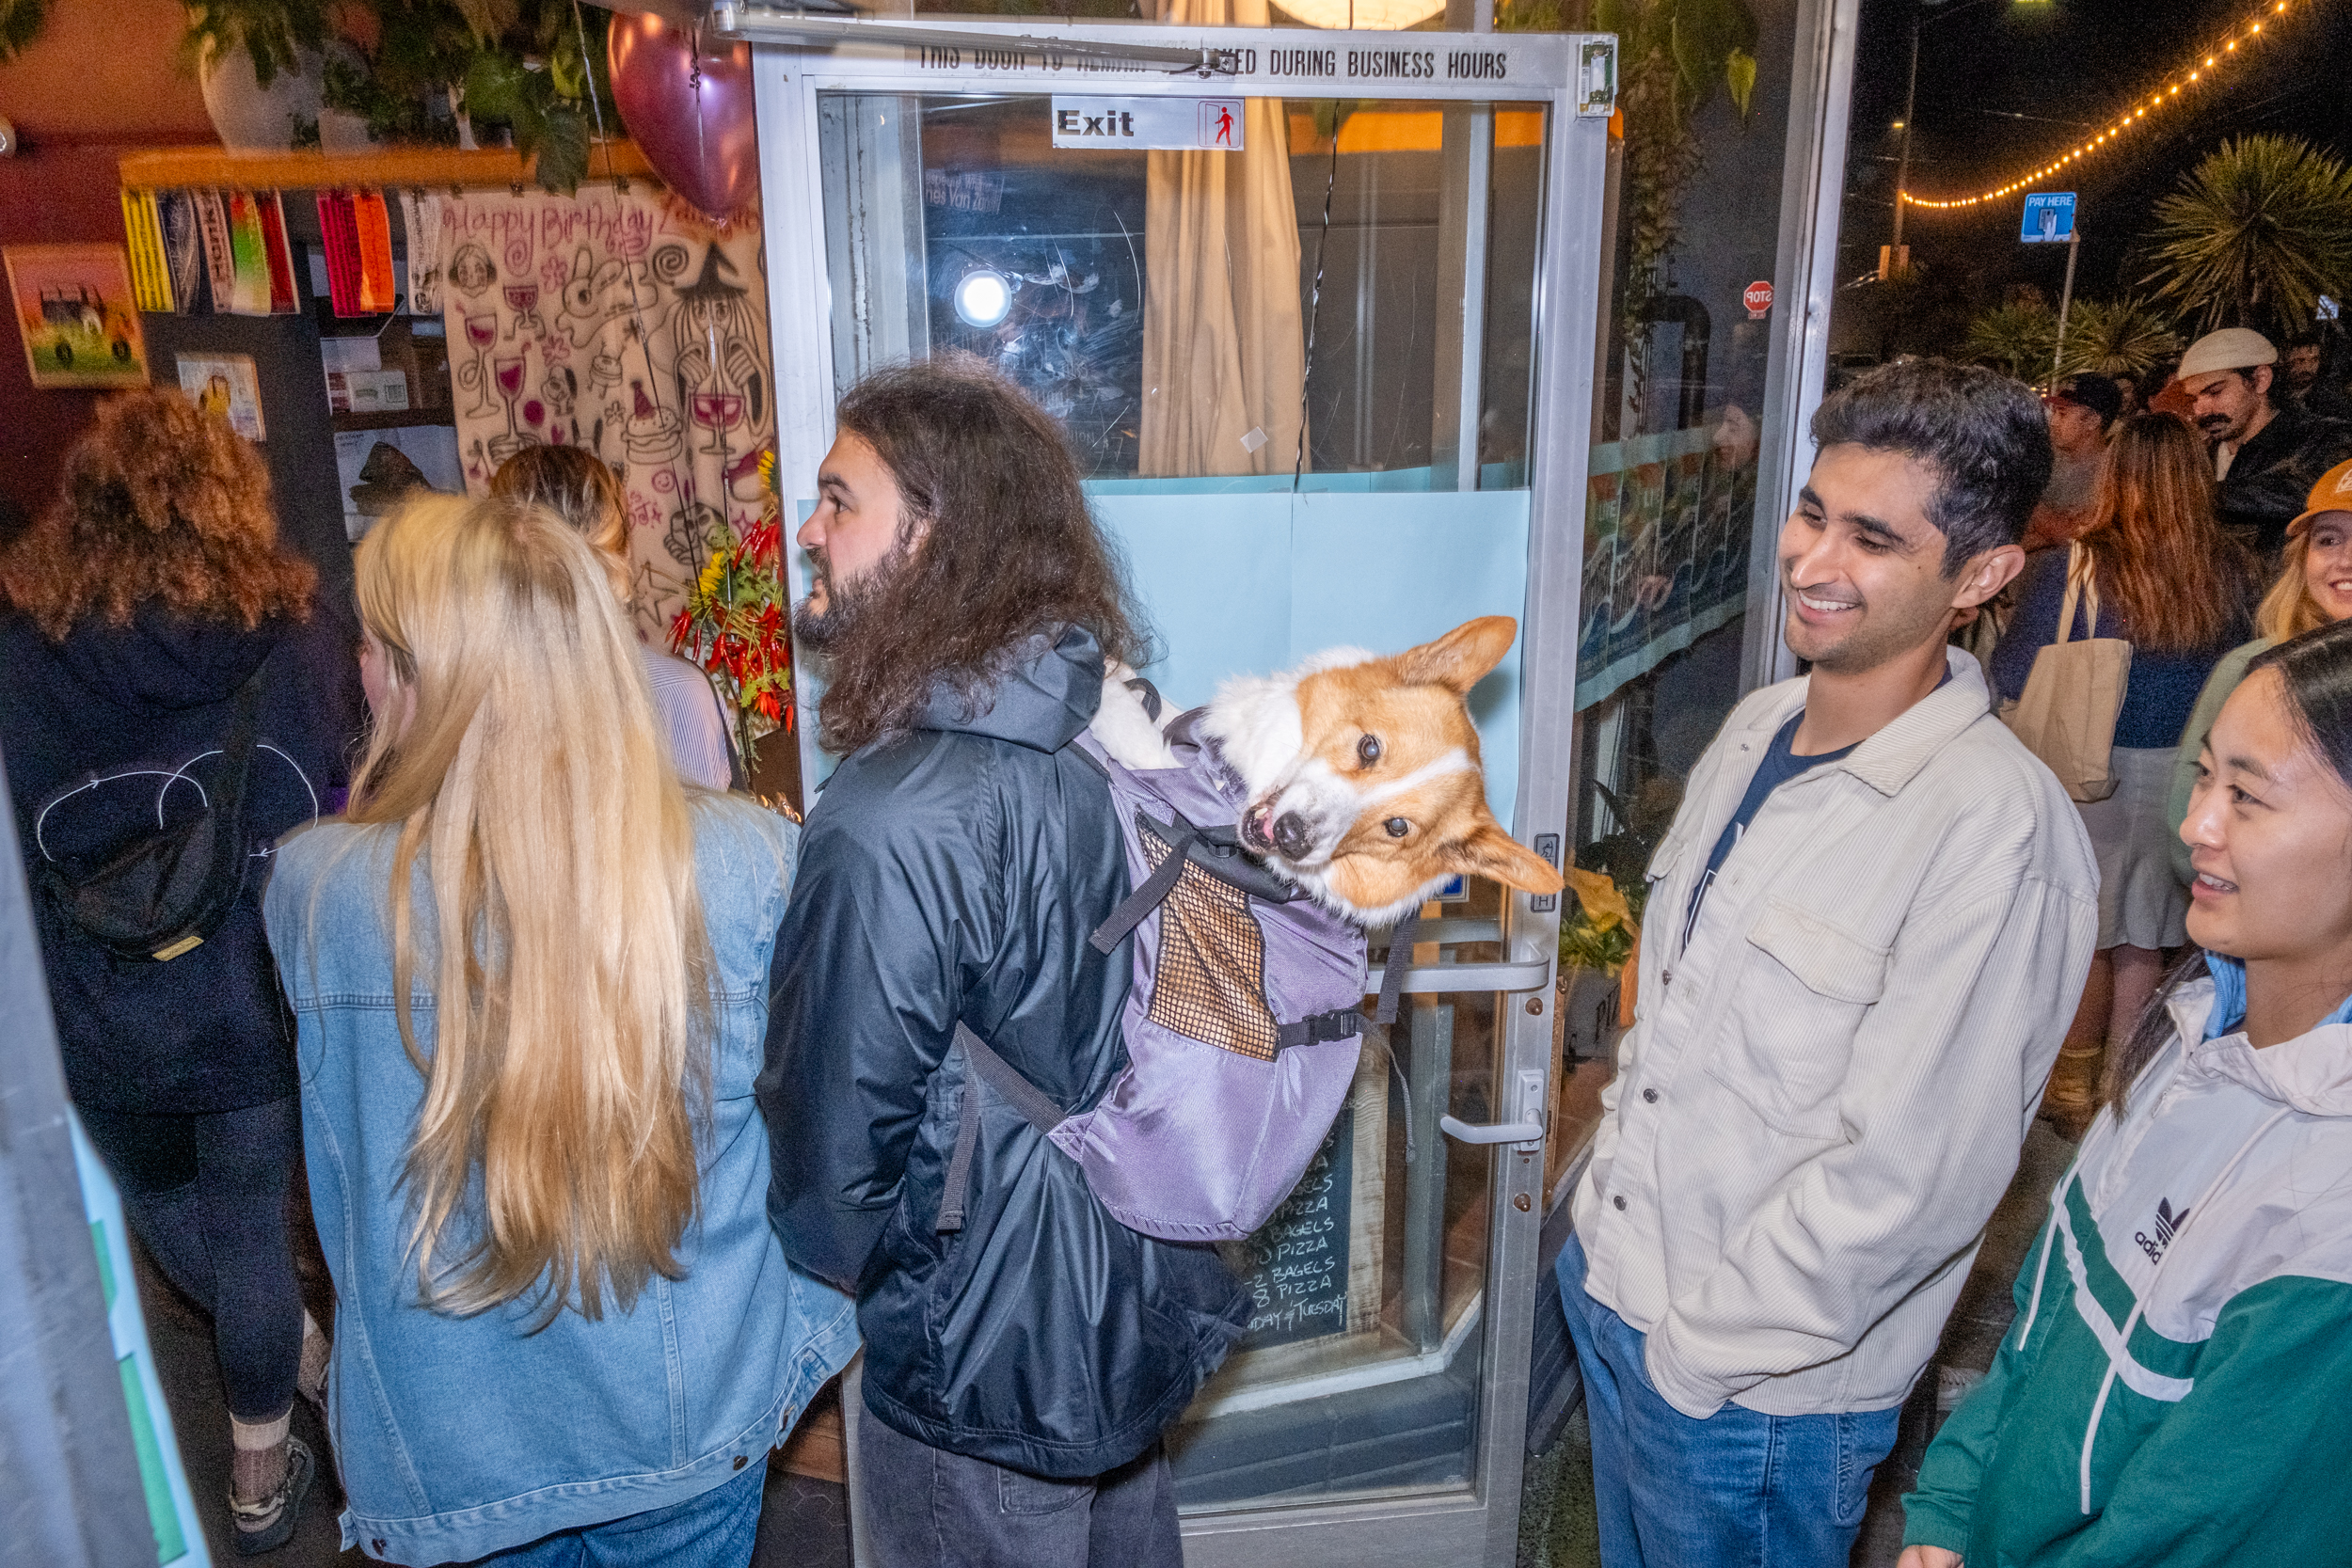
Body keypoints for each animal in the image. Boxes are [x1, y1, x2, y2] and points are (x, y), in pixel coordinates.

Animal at [1091, 615, 1571, 930]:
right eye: (1369, 747)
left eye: (1398, 827)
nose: (1292, 837)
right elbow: (1167, 713)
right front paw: (1122, 670)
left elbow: (1143, 743)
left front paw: (1106, 695)